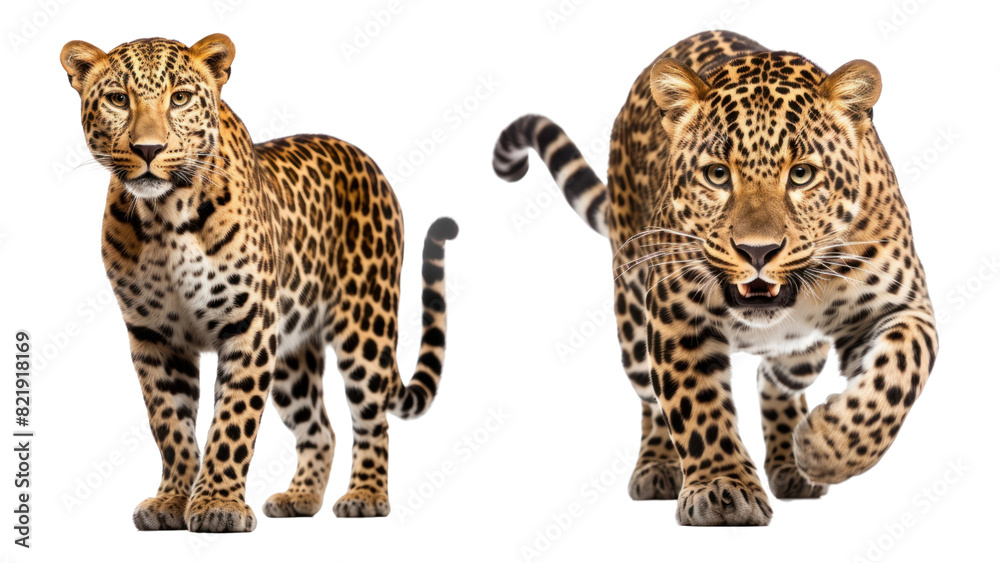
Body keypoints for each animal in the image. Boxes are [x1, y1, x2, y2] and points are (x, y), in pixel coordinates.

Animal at [60, 34, 458, 532]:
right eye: (118, 100)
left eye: (180, 98)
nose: (149, 149)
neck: (164, 217)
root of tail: (365, 160)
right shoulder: (154, 336)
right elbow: (169, 424)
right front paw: (172, 500)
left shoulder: (248, 326)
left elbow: (233, 419)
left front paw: (218, 505)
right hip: (291, 351)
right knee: (320, 428)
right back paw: (300, 497)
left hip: (365, 324)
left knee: (372, 418)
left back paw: (365, 496)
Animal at [493, 30, 937, 525]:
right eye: (718, 175)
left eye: (802, 174)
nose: (758, 250)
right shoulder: (675, 314)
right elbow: (695, 405)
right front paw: (722, 489)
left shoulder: (904, 305)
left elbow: (899, 374)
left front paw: (825, 448)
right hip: (631, 314)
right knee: (650, 399)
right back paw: (657, 467)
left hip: (802, 355)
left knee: (773, 376)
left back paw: (792, 463)